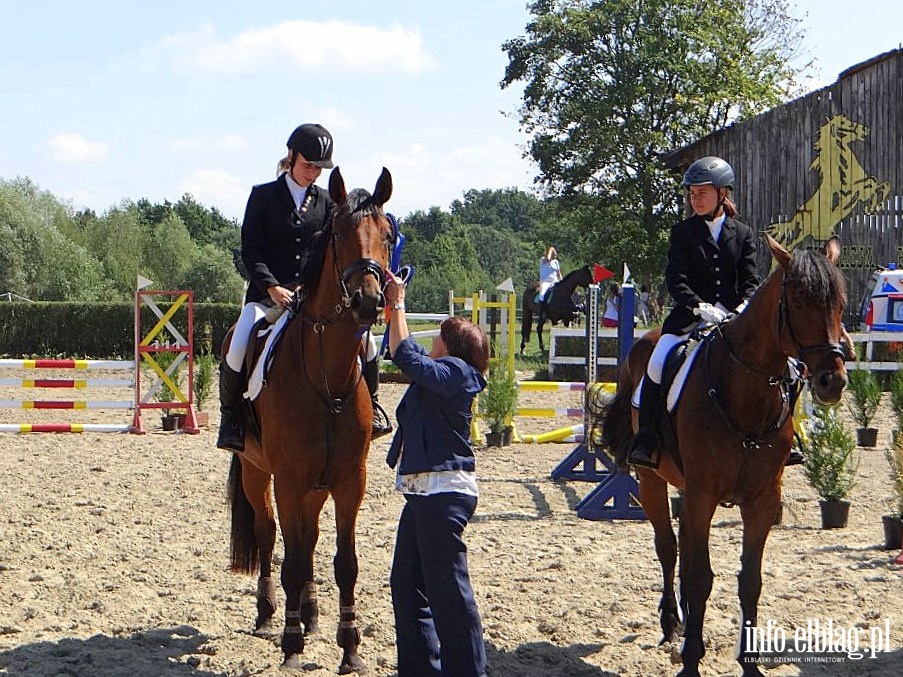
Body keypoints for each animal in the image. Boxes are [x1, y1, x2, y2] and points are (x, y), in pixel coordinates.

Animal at [224, 165, 394, 672]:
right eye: (337, 234)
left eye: (387, 235)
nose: (367, 302)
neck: (326, 376)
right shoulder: (289, 479)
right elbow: (292, 559)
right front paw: (291, 645)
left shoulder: (349, 481)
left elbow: (345, 563)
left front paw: (350, 647)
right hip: (257, 471)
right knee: (268, 533)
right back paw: (268, 614)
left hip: (317, 485)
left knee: (311, 536)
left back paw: (313, 612)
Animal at [600, 234, 848, 676]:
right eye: (799, 301)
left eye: (840, 301)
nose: (831, 381)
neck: (746, 389)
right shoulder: (703, 495)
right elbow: (700, 576)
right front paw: (690, 661)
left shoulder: (762, 501)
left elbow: (749, 580)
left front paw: (750, 664)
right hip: (651, 481)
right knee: (668, 548)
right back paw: (672, 624)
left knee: (682, 547)